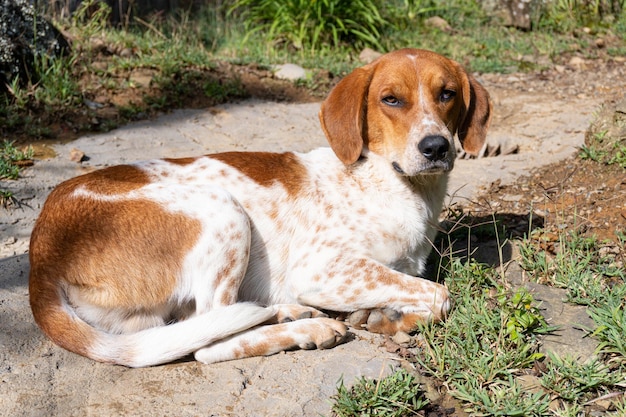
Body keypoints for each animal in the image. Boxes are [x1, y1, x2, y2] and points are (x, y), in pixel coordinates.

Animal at [28, 49, 488, 368]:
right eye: (390, 100)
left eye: (447, 94)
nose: (436, 147)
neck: (392, 182)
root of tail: (41, 254)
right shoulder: (322, 269)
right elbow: (440, 295)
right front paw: (390, 316)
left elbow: (419, 292)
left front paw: (384, 316)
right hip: (223, 212)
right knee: (210, 342)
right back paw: (307, 328)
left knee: (208, 323)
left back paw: (289, 314)